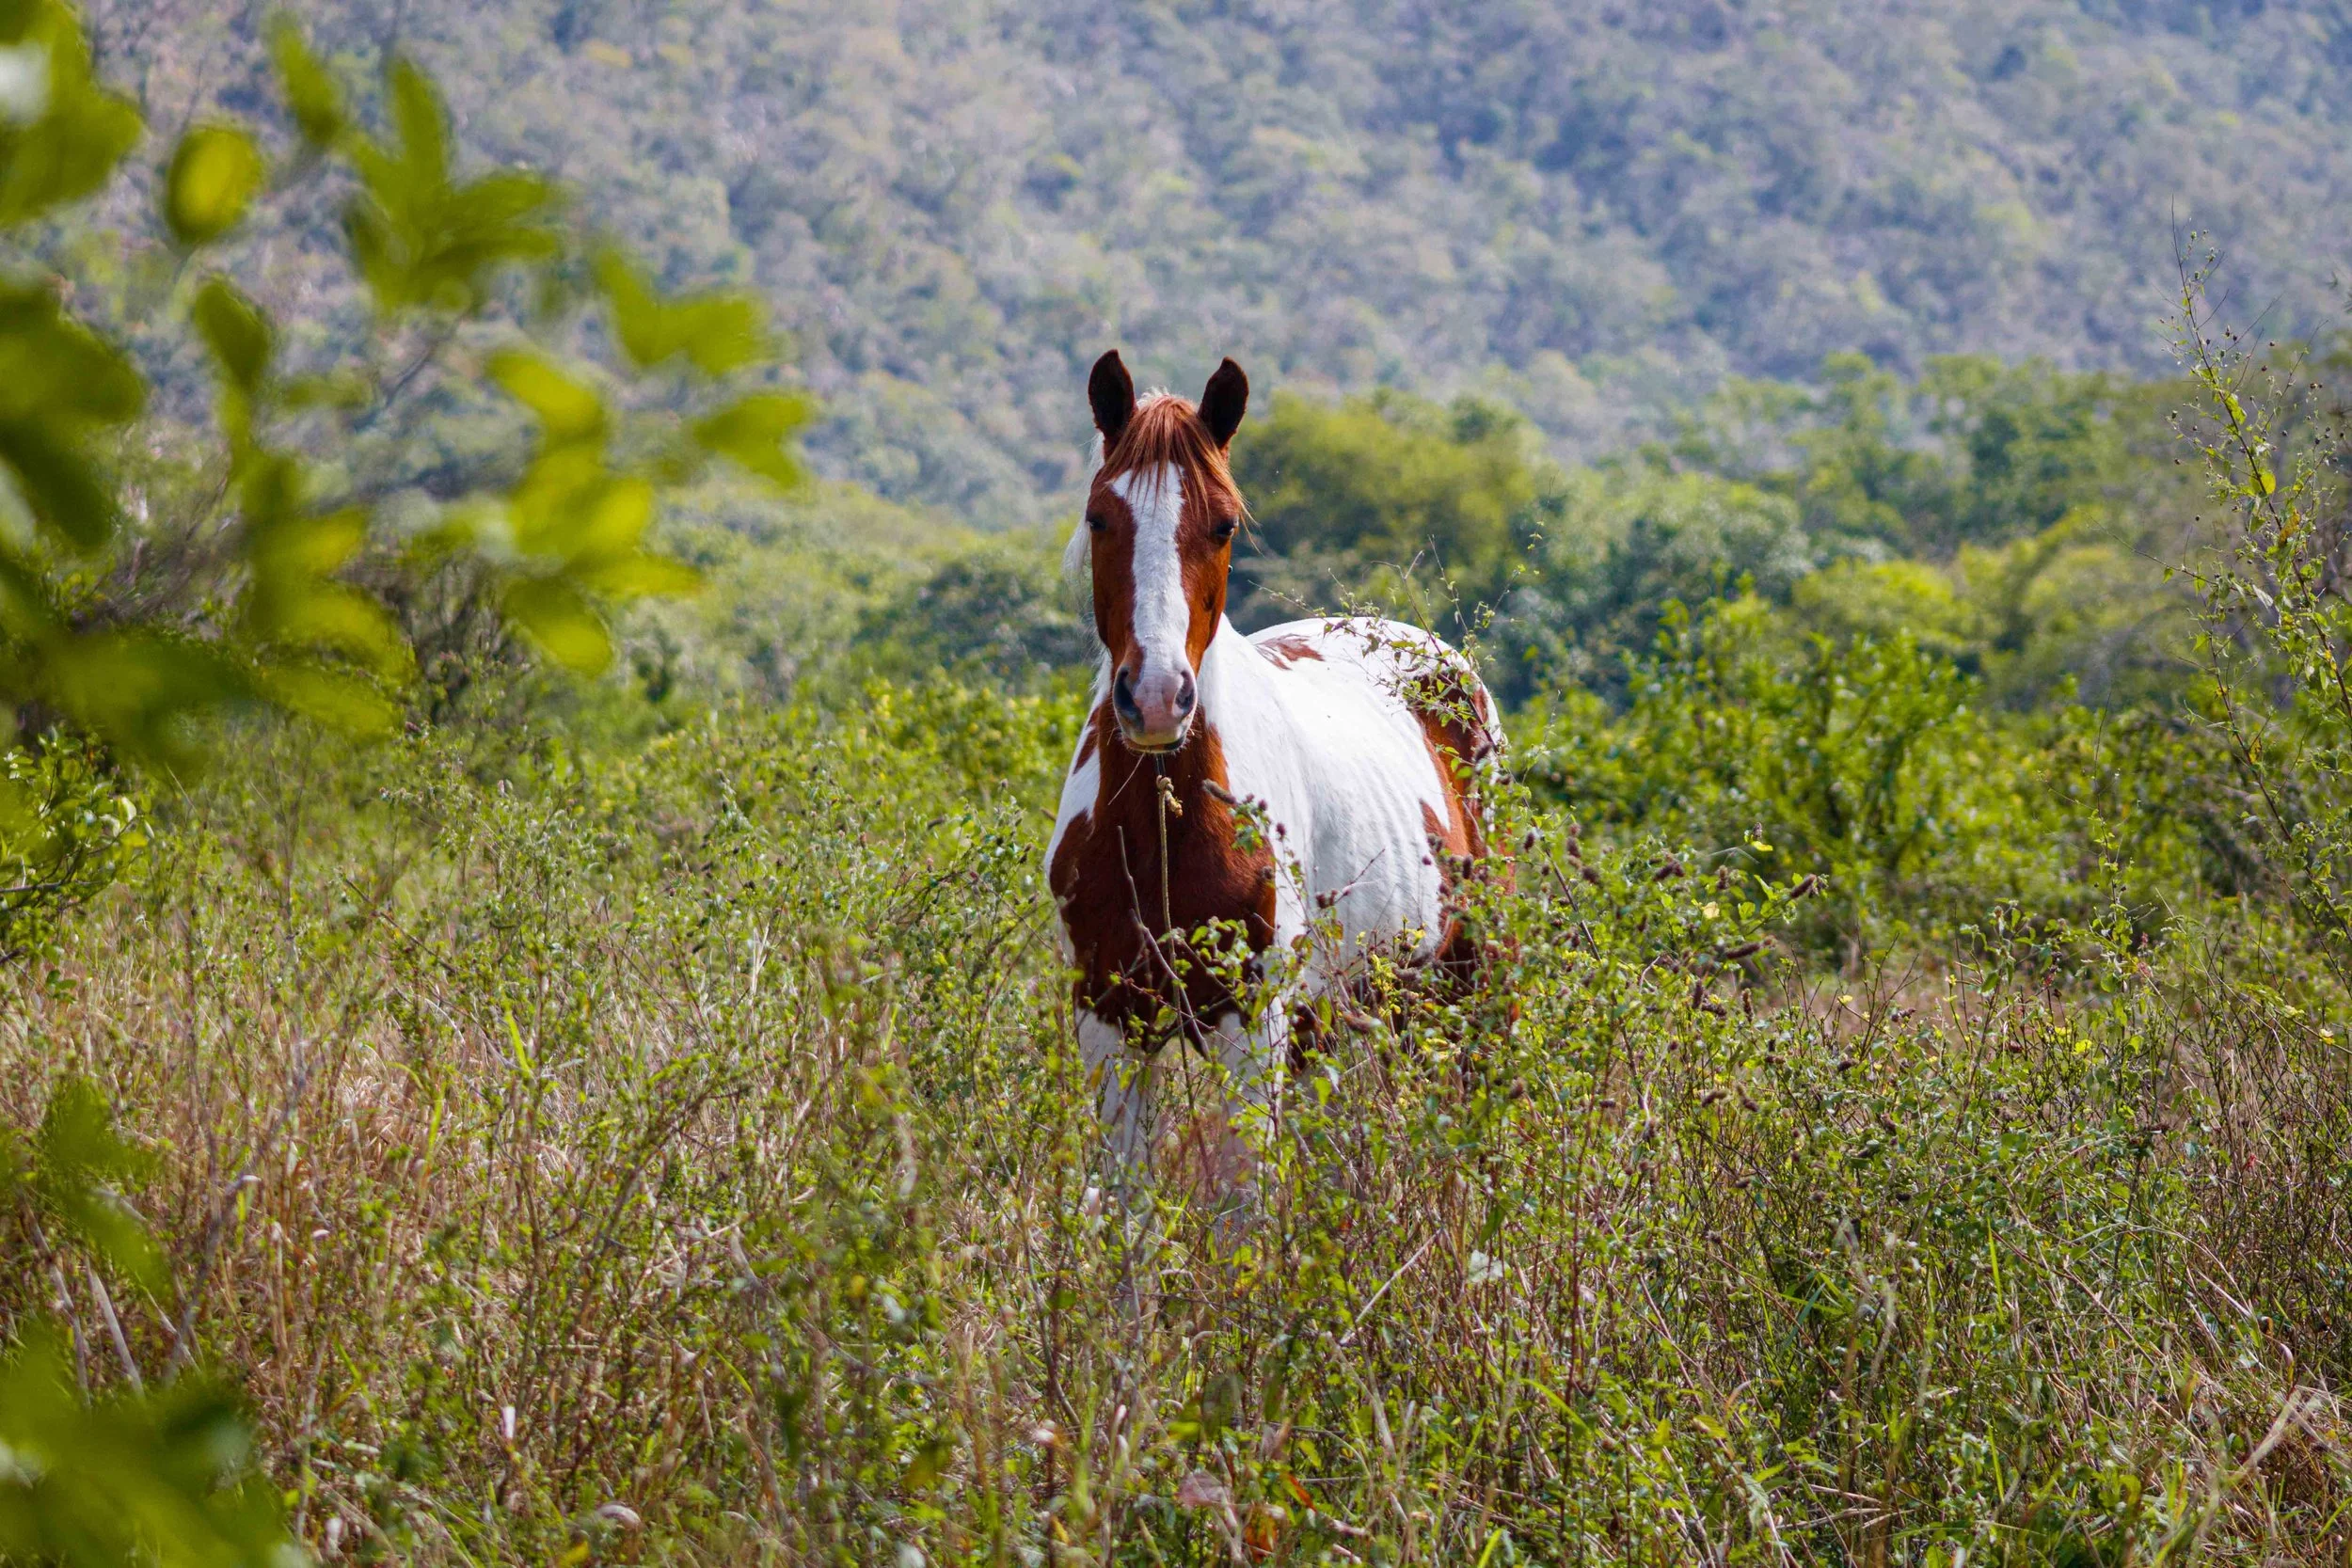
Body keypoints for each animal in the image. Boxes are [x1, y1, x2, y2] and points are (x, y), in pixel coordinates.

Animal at [1045, 349, 1504, 1187]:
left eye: (1224, 523)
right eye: (1100, 518)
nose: (1155, 698)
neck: (1162, 830)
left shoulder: (1250, 1027)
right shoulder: (1110, 1024)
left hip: (1468, 985)